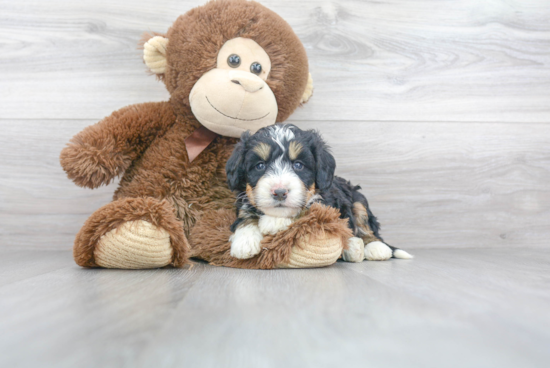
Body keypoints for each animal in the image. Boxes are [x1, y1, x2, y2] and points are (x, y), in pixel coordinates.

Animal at [225, 125, 414, 264]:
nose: (279, 192)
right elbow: (245, 213)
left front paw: (274, 222)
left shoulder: (329, 206)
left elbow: (307, 211)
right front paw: (244, 241)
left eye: (298, 165)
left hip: (358, 200)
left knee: (366, 226)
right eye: (260, 166)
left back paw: (374, 247)